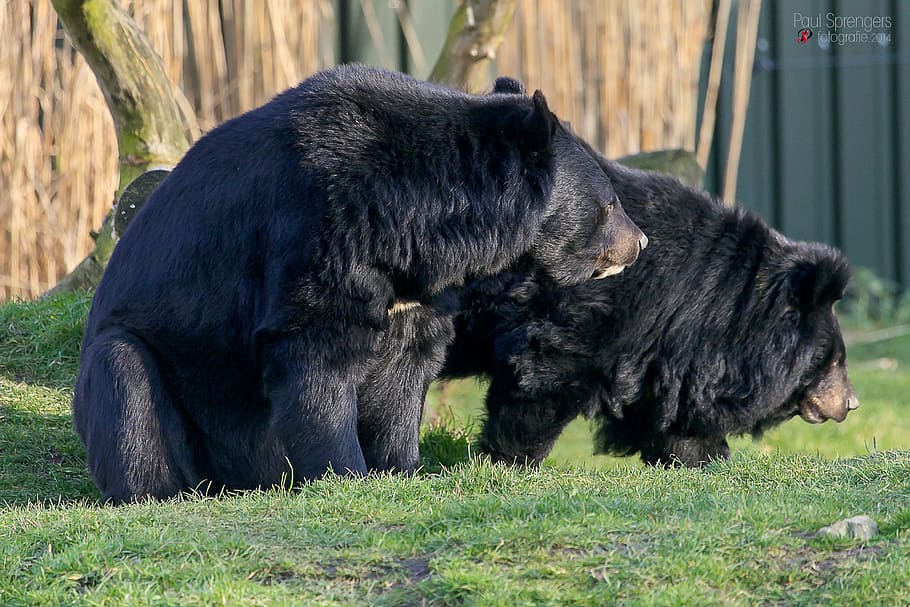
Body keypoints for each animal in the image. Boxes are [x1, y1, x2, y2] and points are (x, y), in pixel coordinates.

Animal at [72, 65, 647, 503]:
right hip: (144, 368)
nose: (640, 243)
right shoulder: (315, 230)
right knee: (126, 386)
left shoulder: (418, 294)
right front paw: (345, 475)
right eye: (609, 203)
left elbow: (405, 374)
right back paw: (157, 492)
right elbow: (315, 356)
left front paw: (401, 469)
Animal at [441, 147, 858, 467]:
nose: (850, 404)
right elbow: (538, 376)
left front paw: (705, 456)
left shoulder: (658, 346)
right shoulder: (585, 314)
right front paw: (510, 460)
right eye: (833, 361)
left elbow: (663, 409)